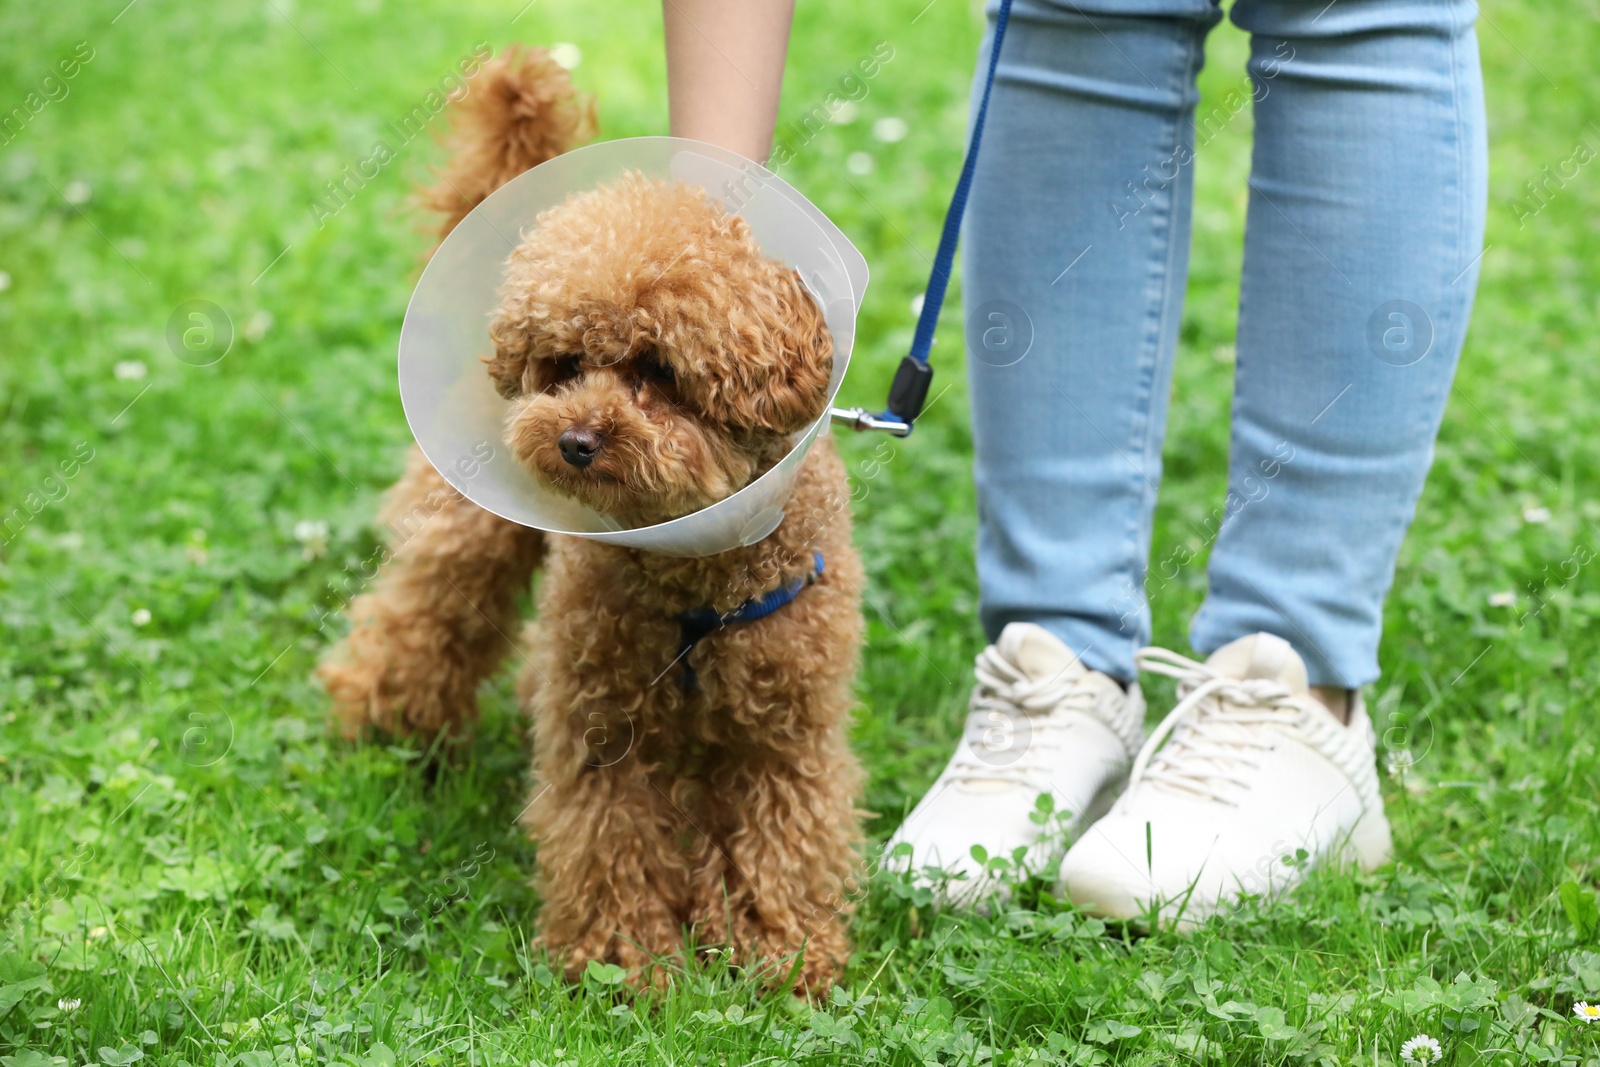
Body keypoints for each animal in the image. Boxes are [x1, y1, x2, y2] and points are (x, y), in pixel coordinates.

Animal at [313, 45, 864, 998]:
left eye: (658, 368)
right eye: (565, 364)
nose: (573, 440)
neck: (693, 583)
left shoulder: (785, 734)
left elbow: (786, 839)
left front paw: (782, 953)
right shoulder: (601, 731)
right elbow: (609, 836)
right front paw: (624, 964)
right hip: (467, 536)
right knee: (422, 616)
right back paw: (386, 724)